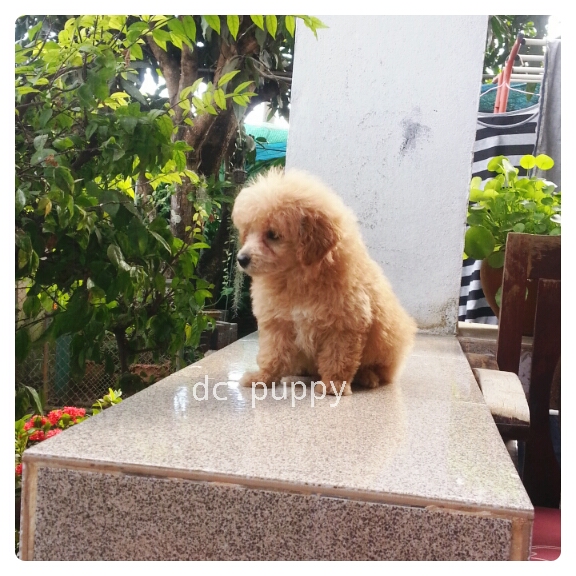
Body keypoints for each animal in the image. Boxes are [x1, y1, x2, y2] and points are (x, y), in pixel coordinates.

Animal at [231, 168, 417, 396]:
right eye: (248, 232)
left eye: (273, 235)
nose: (242, 259)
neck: (297, 278)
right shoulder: (277, 322)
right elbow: (272, 353)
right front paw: (262, 378)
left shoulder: (344, 324)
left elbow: (338, 357)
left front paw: (332, 385)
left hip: (388, 340)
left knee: (382, 370)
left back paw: (367, 376)